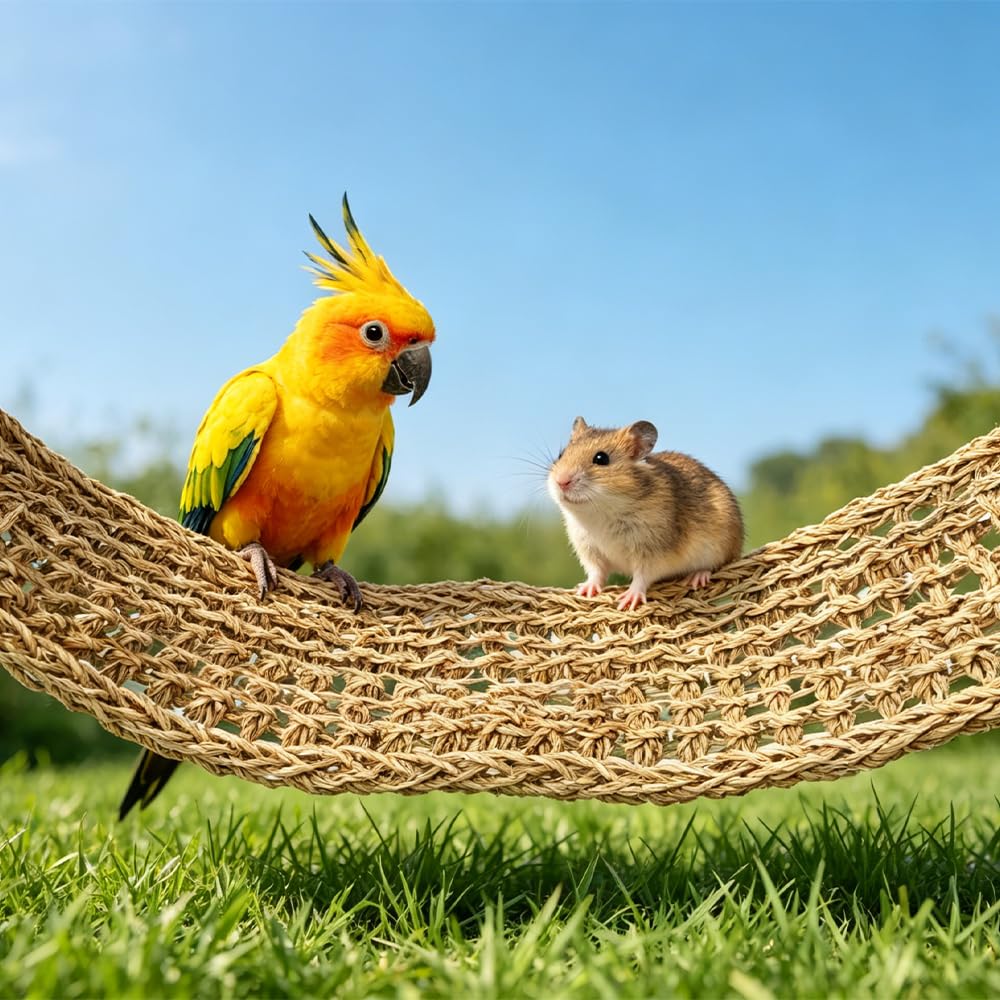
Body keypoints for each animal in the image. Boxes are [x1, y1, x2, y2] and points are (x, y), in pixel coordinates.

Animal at [548, 417, 744, 610]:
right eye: (561, 455)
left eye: (601, 458)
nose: (561, 482)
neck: (601, 512)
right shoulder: (589, 550)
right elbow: (596, 572)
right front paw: (583, 590)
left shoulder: (652, 551)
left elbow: (642, 576)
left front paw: (628, 601)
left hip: (722, 545)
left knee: (716, 564)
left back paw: (697, 577)